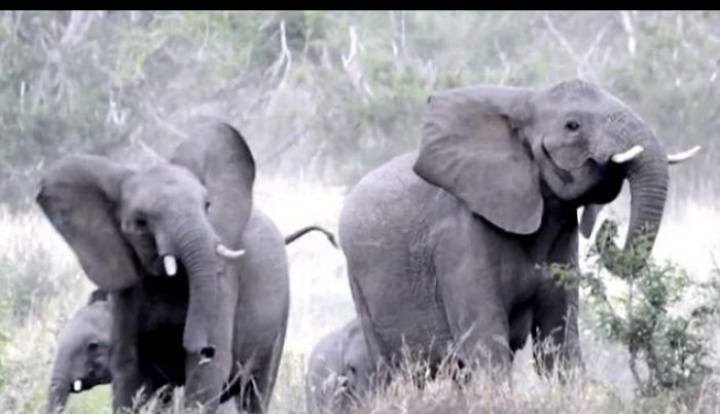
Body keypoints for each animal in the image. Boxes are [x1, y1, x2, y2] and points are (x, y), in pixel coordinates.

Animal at [338, 79, 700, 381]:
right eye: (572, 126)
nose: (607, 228)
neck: (526, 100)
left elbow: (559, 342)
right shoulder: (459, 237)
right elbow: (486, 345)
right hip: (360, 287)